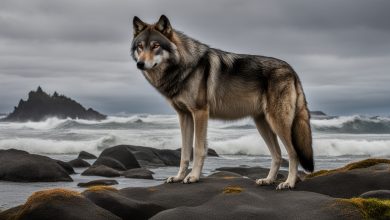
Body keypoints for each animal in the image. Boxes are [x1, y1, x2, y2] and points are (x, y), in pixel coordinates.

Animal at [131, 15, 314, 189]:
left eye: (155, 46)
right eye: (140, 46)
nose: (140, 64)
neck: (184, 66)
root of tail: (293, 71)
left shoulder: (200, 113)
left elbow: (198, 149)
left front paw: (193, 177)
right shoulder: (184, 116)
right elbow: (184, 153)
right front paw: (178, 177)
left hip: (278, 124)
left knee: (293, 154)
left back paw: (289, 183)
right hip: (263, 125)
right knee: (277, 155)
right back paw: (268, 180)